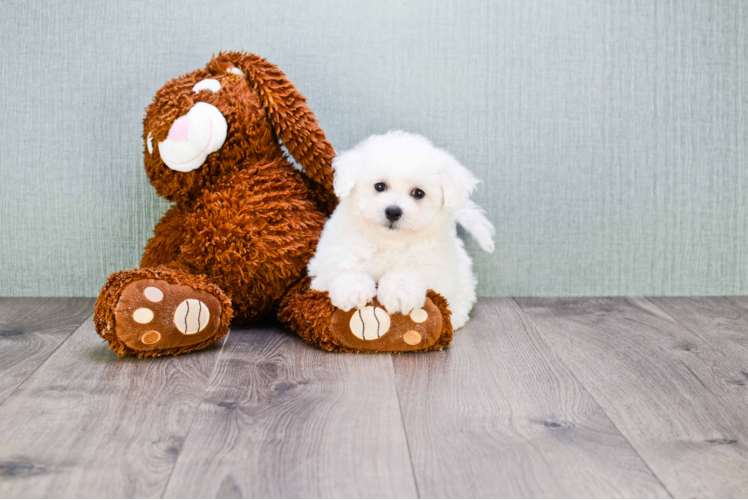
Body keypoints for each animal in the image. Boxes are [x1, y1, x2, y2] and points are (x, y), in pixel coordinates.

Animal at [306, 131, 494, 330]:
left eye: (418, 193)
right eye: (380, 186)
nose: (393, 211)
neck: (389, 241)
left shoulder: (435, 266)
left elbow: (411, 273)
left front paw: (399, 292)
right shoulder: (333, 253)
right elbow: (343, 266)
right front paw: (352, 289)